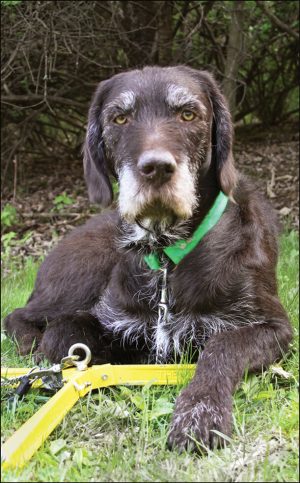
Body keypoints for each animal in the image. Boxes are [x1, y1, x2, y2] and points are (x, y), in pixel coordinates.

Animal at [3, 66, 292, 452]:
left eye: (188, 114)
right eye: (119, 118)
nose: (156, 168)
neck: (167, 254)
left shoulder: (274, 327)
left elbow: (222, 345)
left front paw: (200, 410)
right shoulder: (113, 319)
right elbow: (64, 335)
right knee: (21, 315)